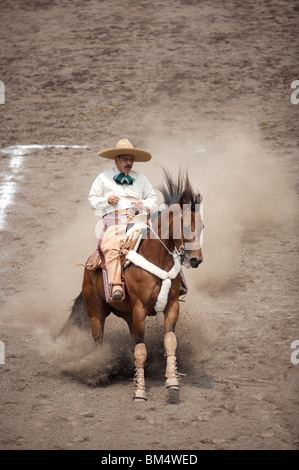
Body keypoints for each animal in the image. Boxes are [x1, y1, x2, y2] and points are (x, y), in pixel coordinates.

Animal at [75, 169, 204, 400]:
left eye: (202, 227)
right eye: (186, 227)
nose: (197, 259)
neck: (157, 257)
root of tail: (89, 264)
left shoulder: (172, 306)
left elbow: (169, 342)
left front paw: (172, 381)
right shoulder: (140, 309)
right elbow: (141, 350)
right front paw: (140, 391)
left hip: (128, 315)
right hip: (96, 312)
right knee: (98, 340)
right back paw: (98, 369)